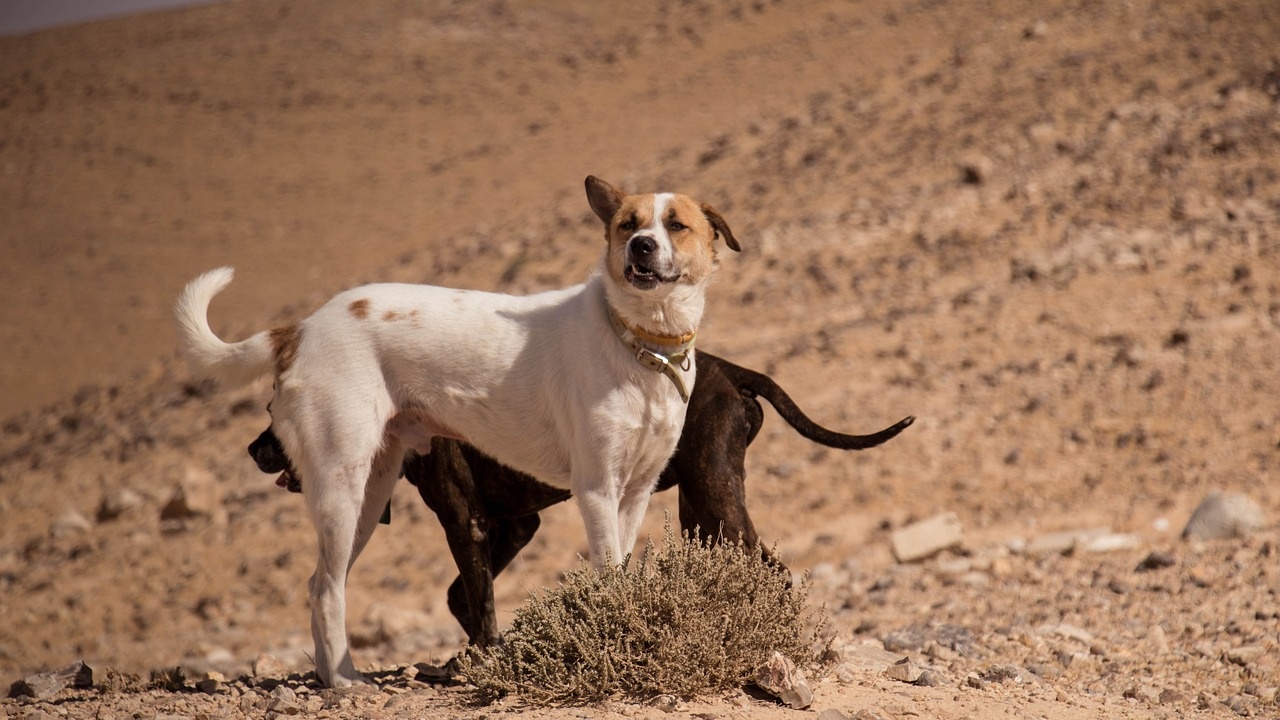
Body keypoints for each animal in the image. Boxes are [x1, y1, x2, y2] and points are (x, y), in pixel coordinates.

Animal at [175, 174, 747, 681]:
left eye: (675, 225)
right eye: (628, 224)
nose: (642, 247)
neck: (640, 342)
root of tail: (303, 327)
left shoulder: (636, 491)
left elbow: (622, 570)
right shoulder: (595, 489)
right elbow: (606, 575)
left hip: (371, 493)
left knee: (321, 580)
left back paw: (332, 676)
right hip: (341, 484)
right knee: (326, 587)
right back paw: (343, 683)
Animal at [249, 351, 911, 645]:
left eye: (282, 412)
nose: (255, 449)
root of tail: (728, 367)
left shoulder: (467, 522)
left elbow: (476, 595)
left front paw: (484, 656)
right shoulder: (513, 525)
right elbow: (464, 594)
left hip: (713, 495)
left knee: (771, 567)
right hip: (698, 509)